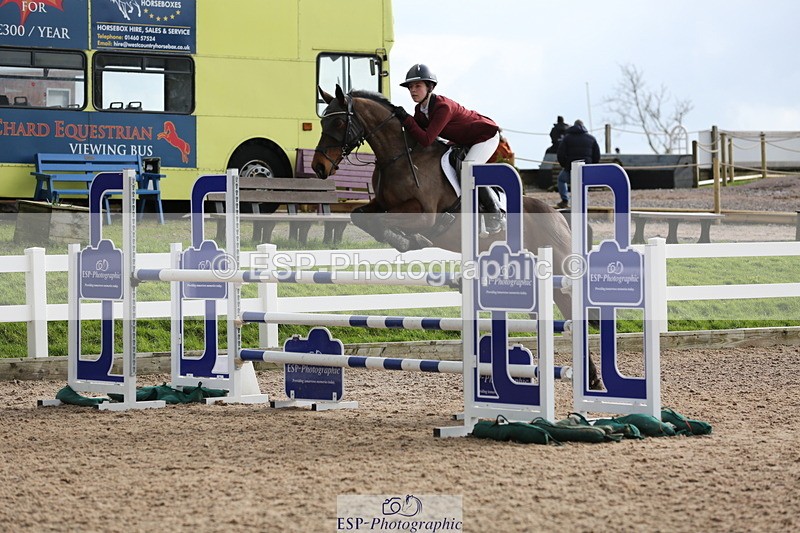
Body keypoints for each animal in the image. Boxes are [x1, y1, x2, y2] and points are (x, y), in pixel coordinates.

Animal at [312, 85, 600, 389]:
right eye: (323, 122)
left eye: (339, 122)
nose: (319, 167)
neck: (399, 156)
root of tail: (559, 215)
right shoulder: (379, 206)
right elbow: (360, 216)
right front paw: (405, 240)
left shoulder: (425, 216)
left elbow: (390, 223)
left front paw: (410, 240)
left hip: (558, 269)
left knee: (573, 313)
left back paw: (591, 379)